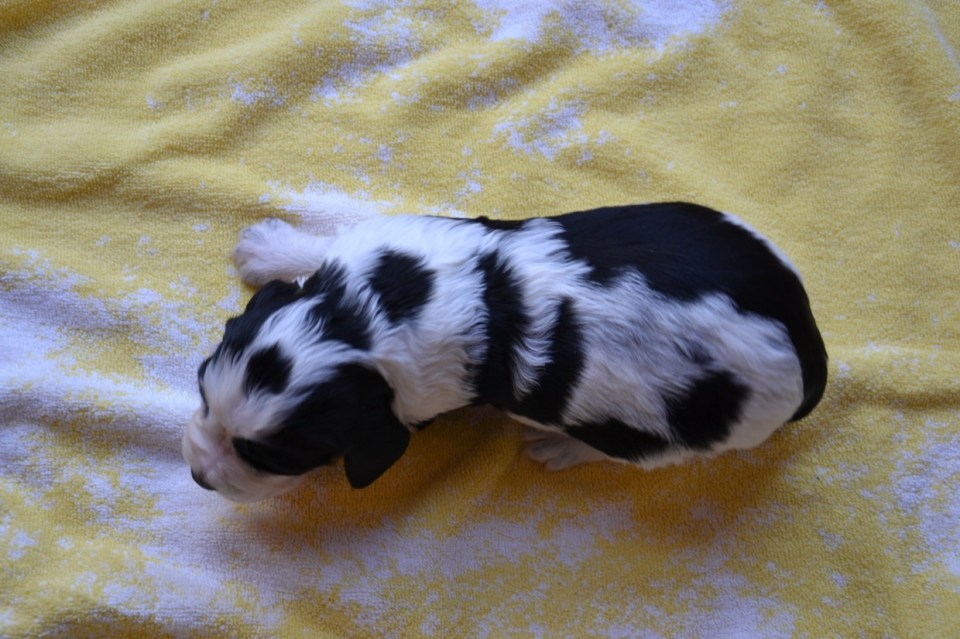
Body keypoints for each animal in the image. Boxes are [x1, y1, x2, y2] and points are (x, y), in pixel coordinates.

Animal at [182, 202, 827, 502]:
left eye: (270, 457)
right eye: (202, 396)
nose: (198, 477)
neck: (363, 323)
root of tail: (807, 346)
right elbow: (322, 249)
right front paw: (266, 249)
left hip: (673, 432)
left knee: (637, 455)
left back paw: (558, 447)